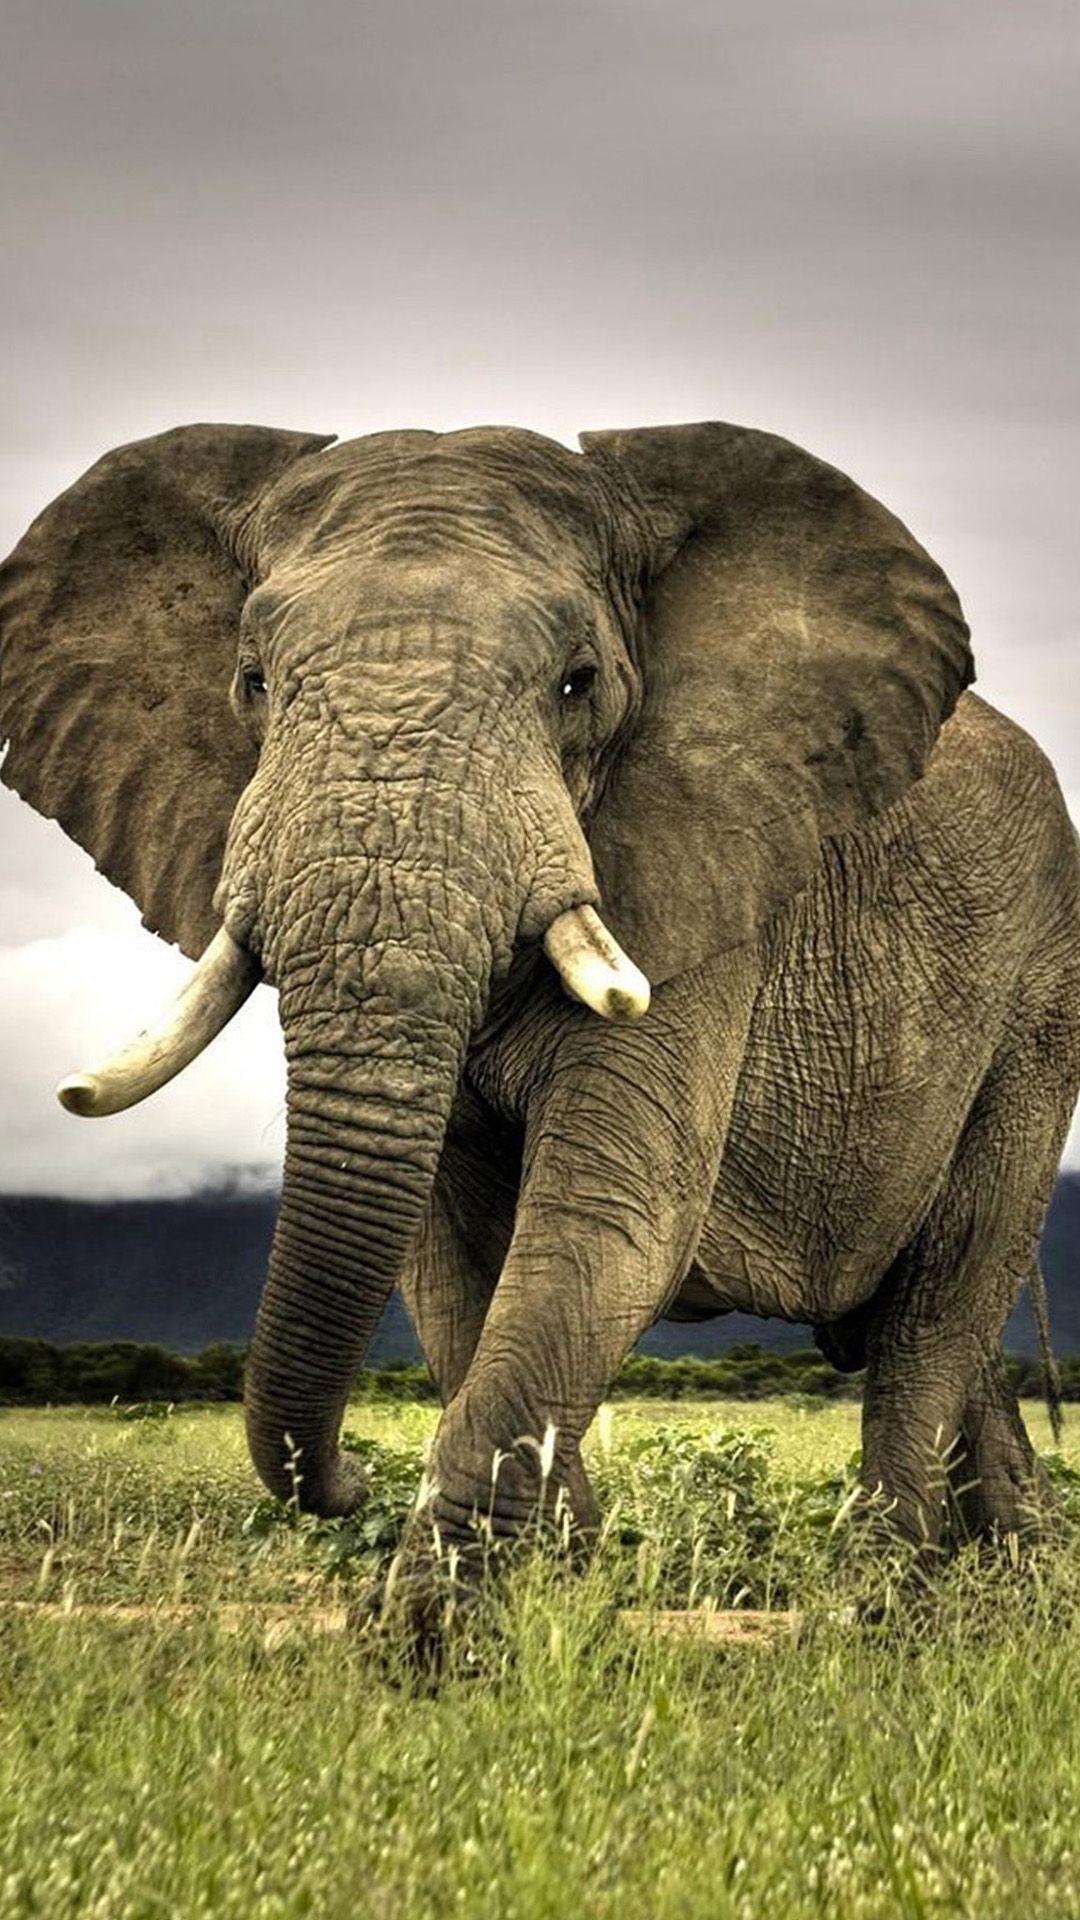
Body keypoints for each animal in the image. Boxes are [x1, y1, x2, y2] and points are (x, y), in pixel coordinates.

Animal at [2, 420, 1078, 1608]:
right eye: (251, 681)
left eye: (579, 683)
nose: (344, 1485)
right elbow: (449, 1261)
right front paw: (560, 1590)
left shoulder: (705, 881)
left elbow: (608, 1217)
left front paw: (439, 1634)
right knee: (928, 1330)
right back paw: (1001, 1575)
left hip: (1038, 1003)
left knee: (943, 1299)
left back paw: (884, 1603)